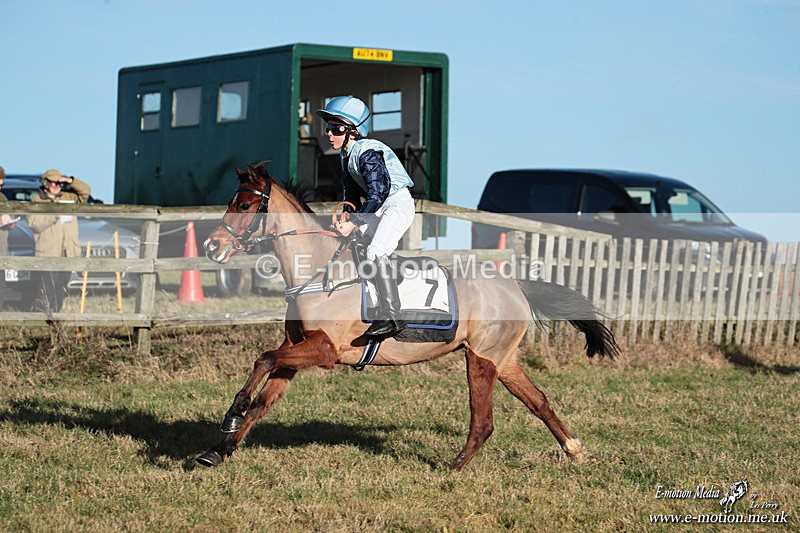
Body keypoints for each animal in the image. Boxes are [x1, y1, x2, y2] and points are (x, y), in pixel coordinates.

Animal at [197, 162, 620, 470]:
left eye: (244, 206)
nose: (211, 246)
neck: (316, 270)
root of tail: (515, 284)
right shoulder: (297, 348)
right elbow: (263, 398)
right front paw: (219, 450)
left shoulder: (325, 351)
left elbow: (263, 360)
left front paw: (231, 412)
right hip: (503, 358)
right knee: (539, 401)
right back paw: (575, 450)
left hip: (480, 359)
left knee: (483, 421)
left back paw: (454, 466)